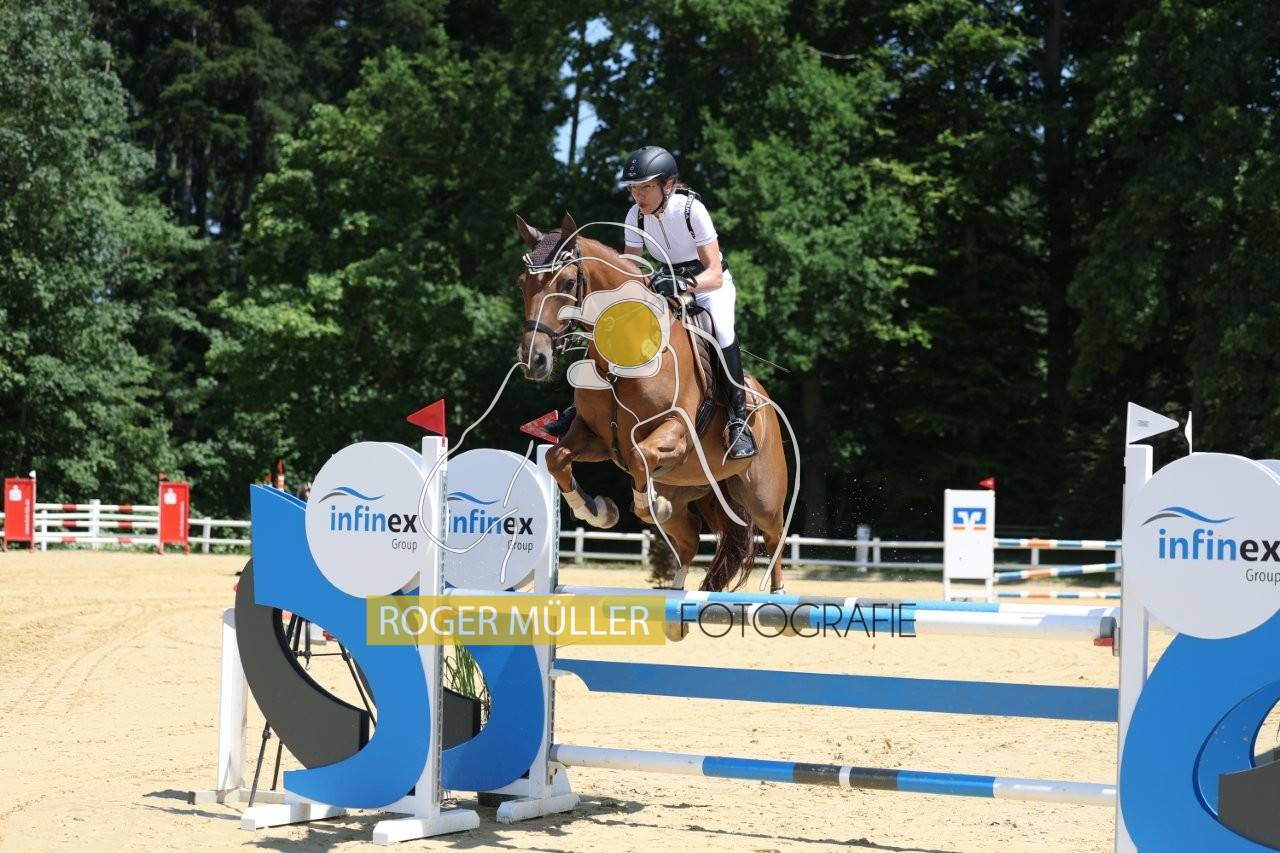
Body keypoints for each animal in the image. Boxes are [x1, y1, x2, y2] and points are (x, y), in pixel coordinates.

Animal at [514, 212, 790, 593]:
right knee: (689, 539)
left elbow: (639, 456)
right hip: (693, 486)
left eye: (568, 282)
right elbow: (557, 458)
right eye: (522, 283)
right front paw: (600, 511)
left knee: (775, 535)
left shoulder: (676, 431)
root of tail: (765, 402)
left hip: (761, 493)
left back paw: (779, 596)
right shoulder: (596, 437)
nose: (533, 360)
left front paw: (652, 506)